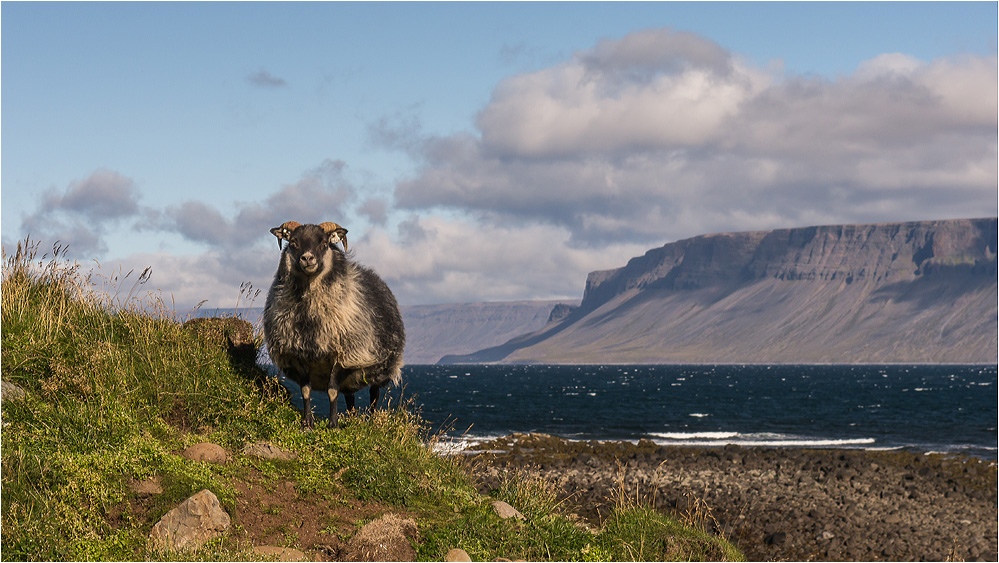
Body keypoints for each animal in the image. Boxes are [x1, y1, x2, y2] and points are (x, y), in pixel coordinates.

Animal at [264, 223, 408, 430]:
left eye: (324, 243)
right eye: (293, 242)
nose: (307, 258)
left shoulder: (346, 356)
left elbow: (332, 390)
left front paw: (333, 424)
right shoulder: (297, 356)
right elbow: (306, 390)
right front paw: (307, 423)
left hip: (379, 368)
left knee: (374, 394)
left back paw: (371, 422)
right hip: (351, 379)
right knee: (349, 397)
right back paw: (353, 420)